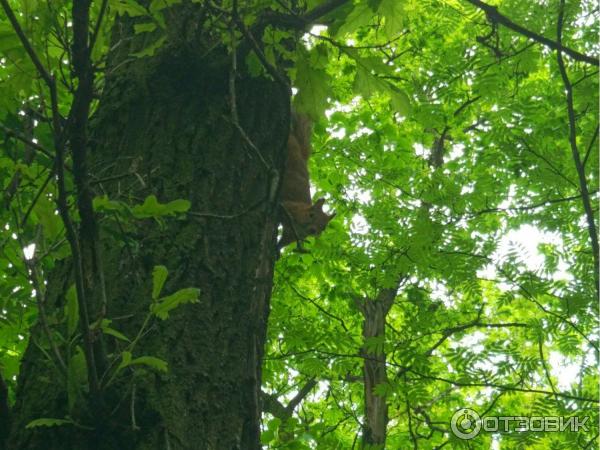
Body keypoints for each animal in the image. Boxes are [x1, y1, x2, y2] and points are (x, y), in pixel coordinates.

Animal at [278, 110, 336, 248]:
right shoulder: (290, 207)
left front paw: (276, 248)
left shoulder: (292, 235)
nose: (313, 230)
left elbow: (284, 241)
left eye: (323, 227)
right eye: (311, 215)